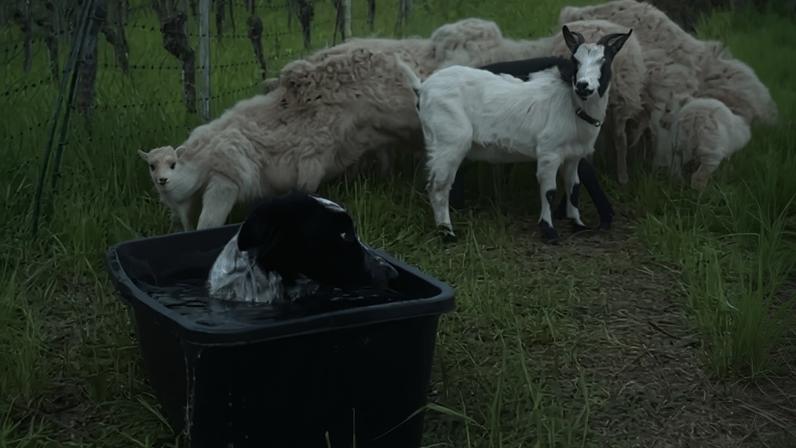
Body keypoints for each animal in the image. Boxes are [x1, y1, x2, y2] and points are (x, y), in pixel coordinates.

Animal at [399, 26, 632, 244]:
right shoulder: (549, 152)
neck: (572, 106)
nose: (583, 86)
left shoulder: (573, 156)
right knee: (438, 187)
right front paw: (549, 231)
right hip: (450, 140)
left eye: (605, 60)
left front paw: (578, 224)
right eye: (575, 60)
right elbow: (549, 191)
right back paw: (447, 233)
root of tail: (422, 87)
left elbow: (573, 187)